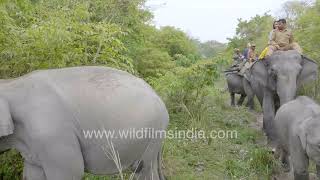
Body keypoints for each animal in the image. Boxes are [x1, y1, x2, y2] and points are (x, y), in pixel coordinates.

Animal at [0, 66, 169, 180]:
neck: (11, 83)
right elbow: (32, 173)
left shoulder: (52, 135)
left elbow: (72, 172)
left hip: (152, 134)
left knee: (143, 170)